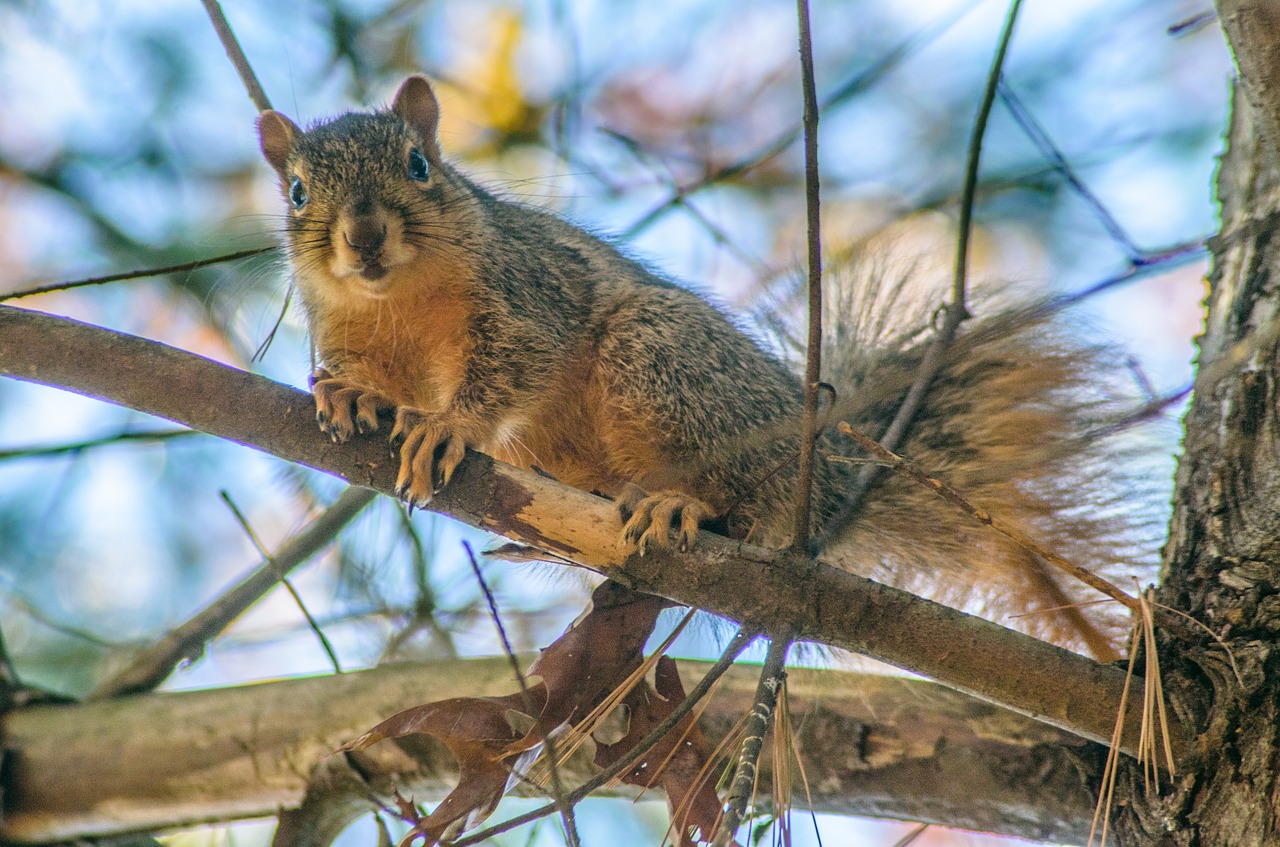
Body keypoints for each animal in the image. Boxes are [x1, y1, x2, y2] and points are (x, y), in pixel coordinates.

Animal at [254, 76, 1146, 660]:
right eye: (296, 191)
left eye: (417, 166)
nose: (364, 236)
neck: (396, 299)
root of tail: (826, 479)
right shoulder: (350, 329)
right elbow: (372, 377)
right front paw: (351, 395)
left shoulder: (528, 293)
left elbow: (509, 366)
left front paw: (445, 425)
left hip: (658, 355)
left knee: (746, 503)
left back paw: (683, 502)